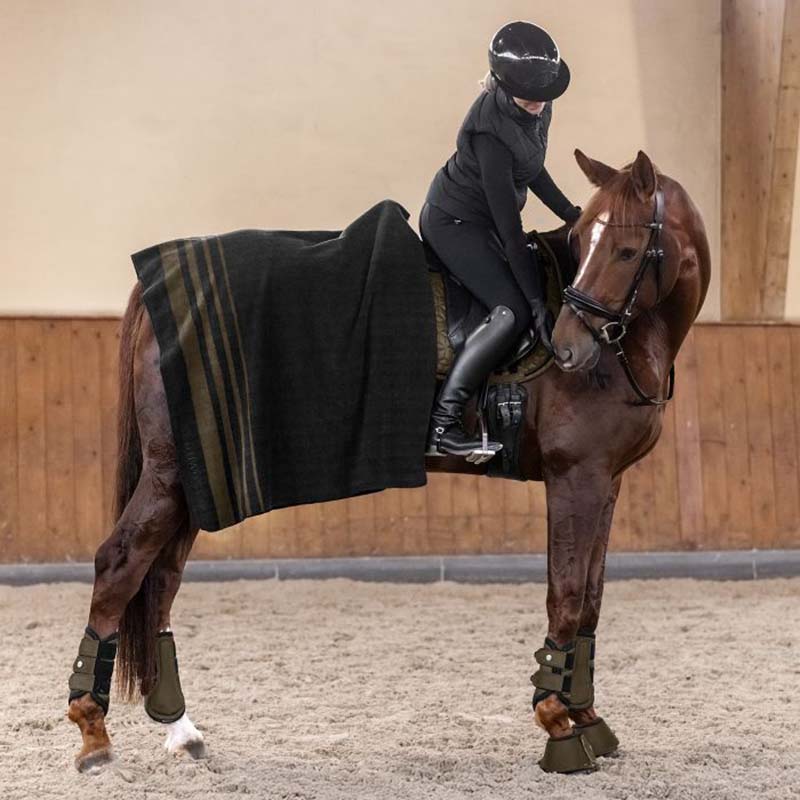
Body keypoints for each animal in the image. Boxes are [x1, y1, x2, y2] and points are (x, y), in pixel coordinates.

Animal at [67, 148, 709, 773]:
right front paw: (558, 725)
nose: (570, 347)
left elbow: (592, 601)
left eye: (626, 249)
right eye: (586, 239)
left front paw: (588, 719)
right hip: (170, 472)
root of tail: (165, 279)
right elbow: (567, 596)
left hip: (196, 478)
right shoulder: (574, 477)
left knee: (161, 578)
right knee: (120, 564)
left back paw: (180, 730)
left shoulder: (606, 481)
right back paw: (93, 731)